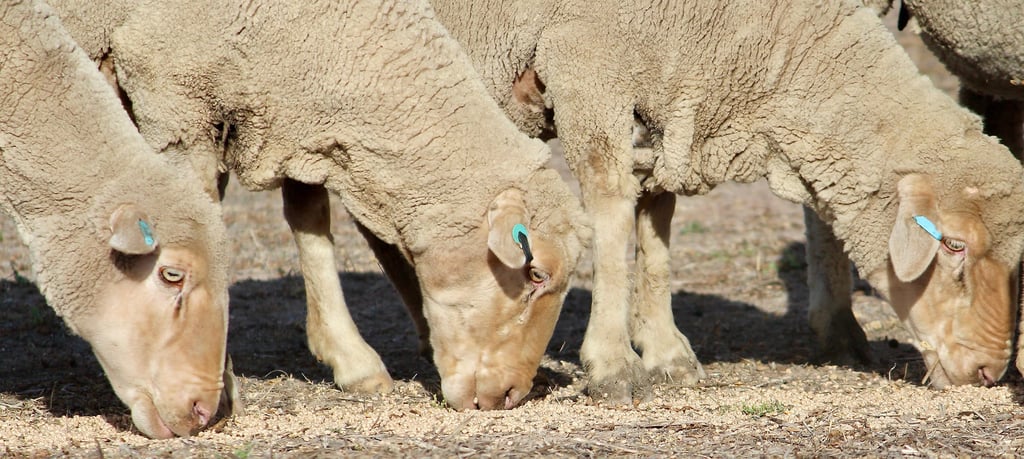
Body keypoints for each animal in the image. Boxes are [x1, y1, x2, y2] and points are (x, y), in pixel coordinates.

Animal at [48, 0, 591, 411]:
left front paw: (351, 360)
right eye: (535, 274)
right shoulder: (174, 96)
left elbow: (309, 219)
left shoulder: (294, 112)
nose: (511, 395)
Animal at [429, 0, 1024, 404]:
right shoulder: (588, 67)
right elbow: (612, 217)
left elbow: (656, 230)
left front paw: (666, 353)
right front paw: (614, 365)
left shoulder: (667, 100)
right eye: (954, 245)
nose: (990, 375)